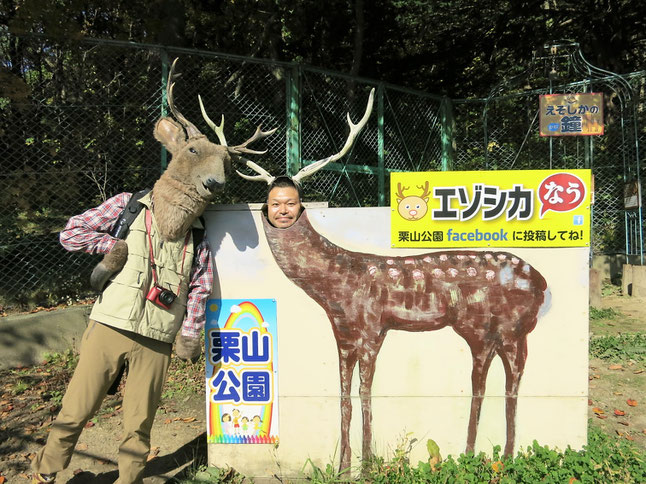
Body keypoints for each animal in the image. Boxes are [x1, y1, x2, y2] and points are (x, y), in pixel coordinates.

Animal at [235, 89, 548, 470]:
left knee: (509, 381)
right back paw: (479, 454)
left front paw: (367, 465)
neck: (336, 287)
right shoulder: (342, 333)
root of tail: (543, 284)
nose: (276, 211)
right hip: (489, 332)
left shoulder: (372, 327)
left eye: (291, 198)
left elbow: (366, 392)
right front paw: (343, 467)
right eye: (271, 199)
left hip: (505, 329)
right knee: (490, 381)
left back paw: (501, 457)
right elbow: (344, 395)